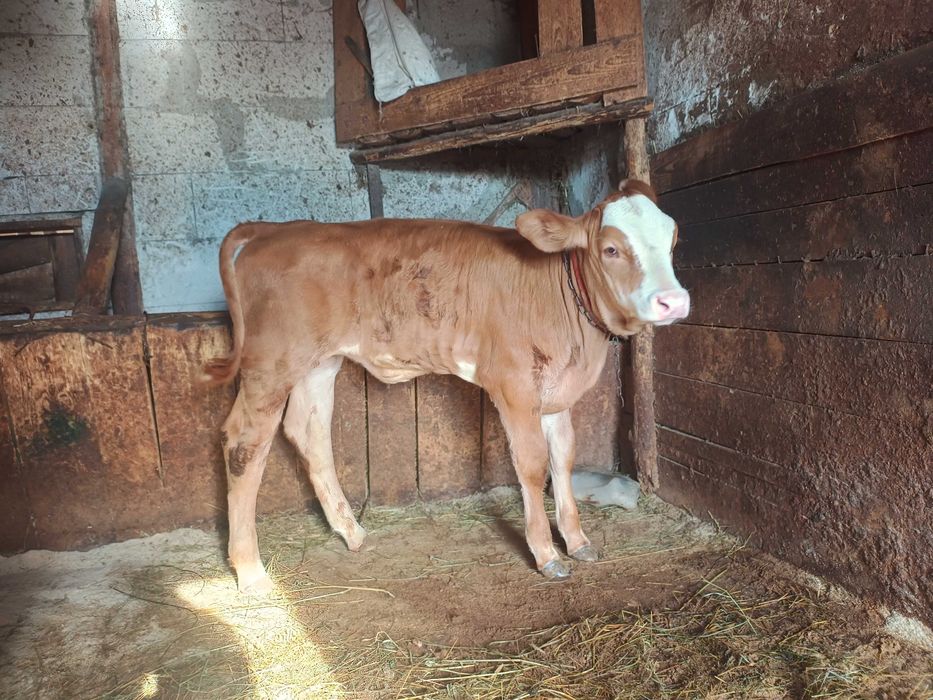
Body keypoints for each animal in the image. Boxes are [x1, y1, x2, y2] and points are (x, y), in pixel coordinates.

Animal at [204, 179, 689, 594]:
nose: (675, 301)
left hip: (319, 362)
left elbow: (563, 459)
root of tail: (277, 229)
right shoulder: (514, 387)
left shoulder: (556, 393)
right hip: (271, 361)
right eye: (611, 248)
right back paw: (250, 570)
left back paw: (351, 530)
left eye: (672, 240)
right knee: (244, 443)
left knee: (309, 432)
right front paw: (546, 553)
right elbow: (533, 466)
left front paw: (578, 540)